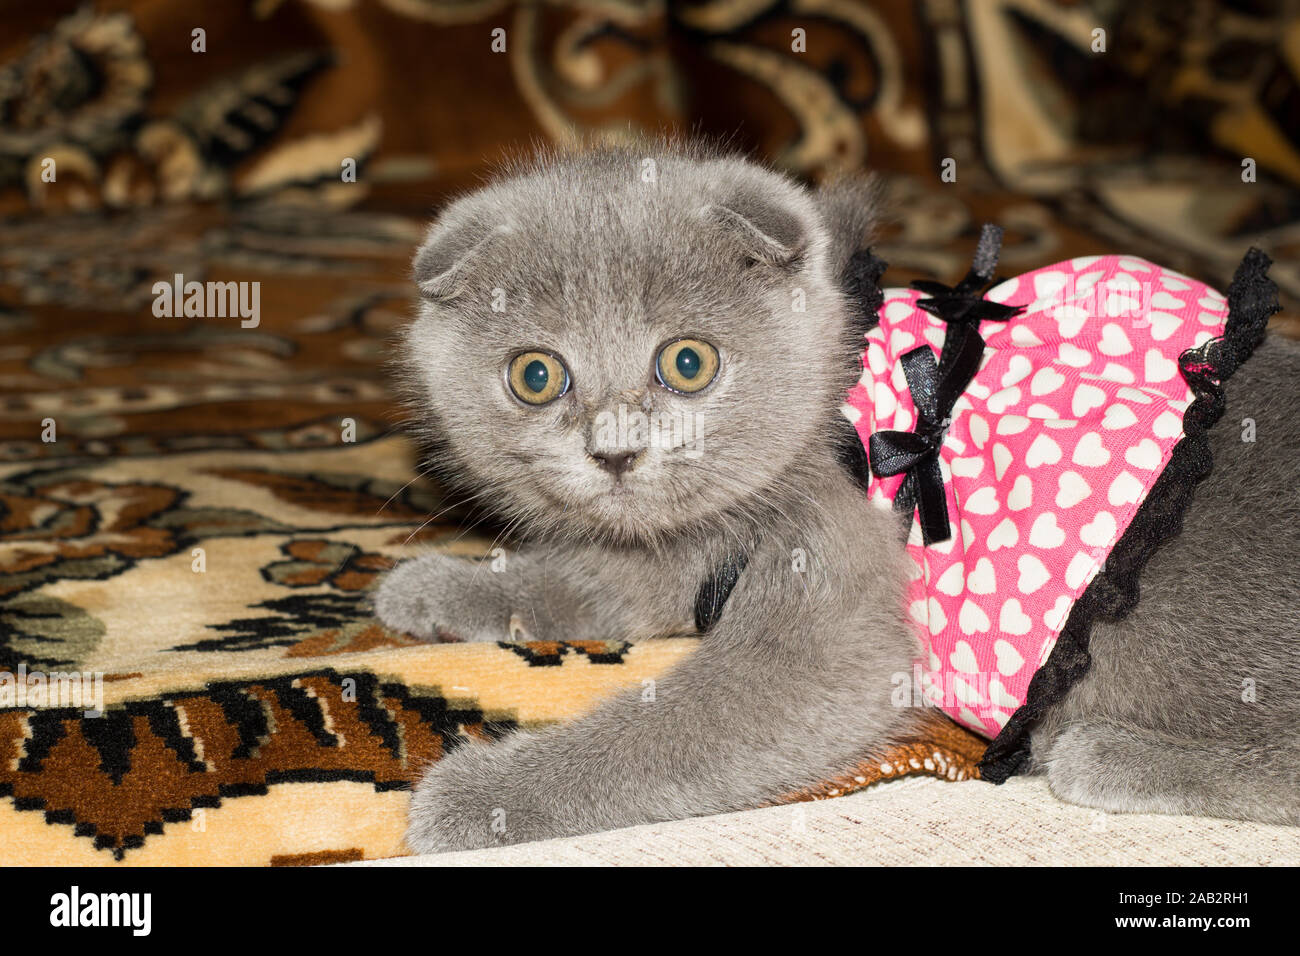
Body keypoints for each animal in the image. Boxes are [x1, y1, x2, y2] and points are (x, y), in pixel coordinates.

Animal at [377, 140, 1300, 853]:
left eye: (689, 362)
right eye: (535, 376)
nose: (615, 450)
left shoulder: (835, 558)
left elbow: (682, 727)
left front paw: (476, 794)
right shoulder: (683, 546)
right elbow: (590, 581)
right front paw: (439, 587)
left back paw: (1106, 754)